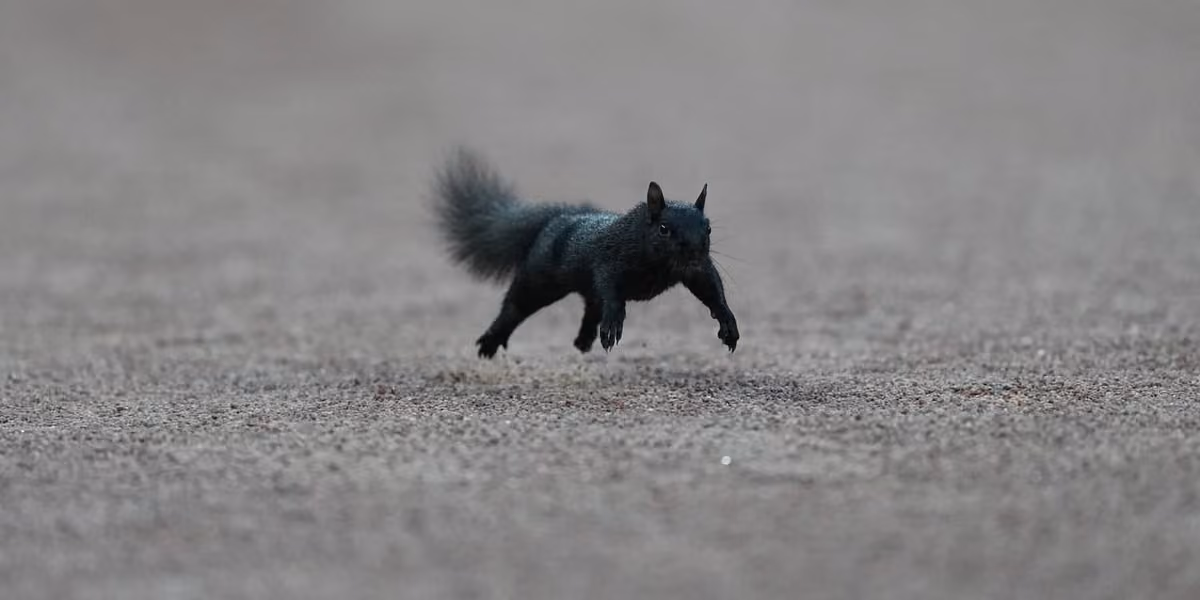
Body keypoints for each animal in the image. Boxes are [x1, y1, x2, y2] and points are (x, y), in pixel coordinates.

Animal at [431, 147, 739, 359]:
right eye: (664, 229)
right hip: (540, 278)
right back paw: (491, 341)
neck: (661, 263)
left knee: (591, 306)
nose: (696, 251)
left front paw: (728, 324)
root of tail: (558, 217)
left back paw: (584, 340)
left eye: (708, 228)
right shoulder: (609, 260)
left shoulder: (696, 270)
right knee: (516, 305)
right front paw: (614, 322)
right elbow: (611, 291)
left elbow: (711, 290)